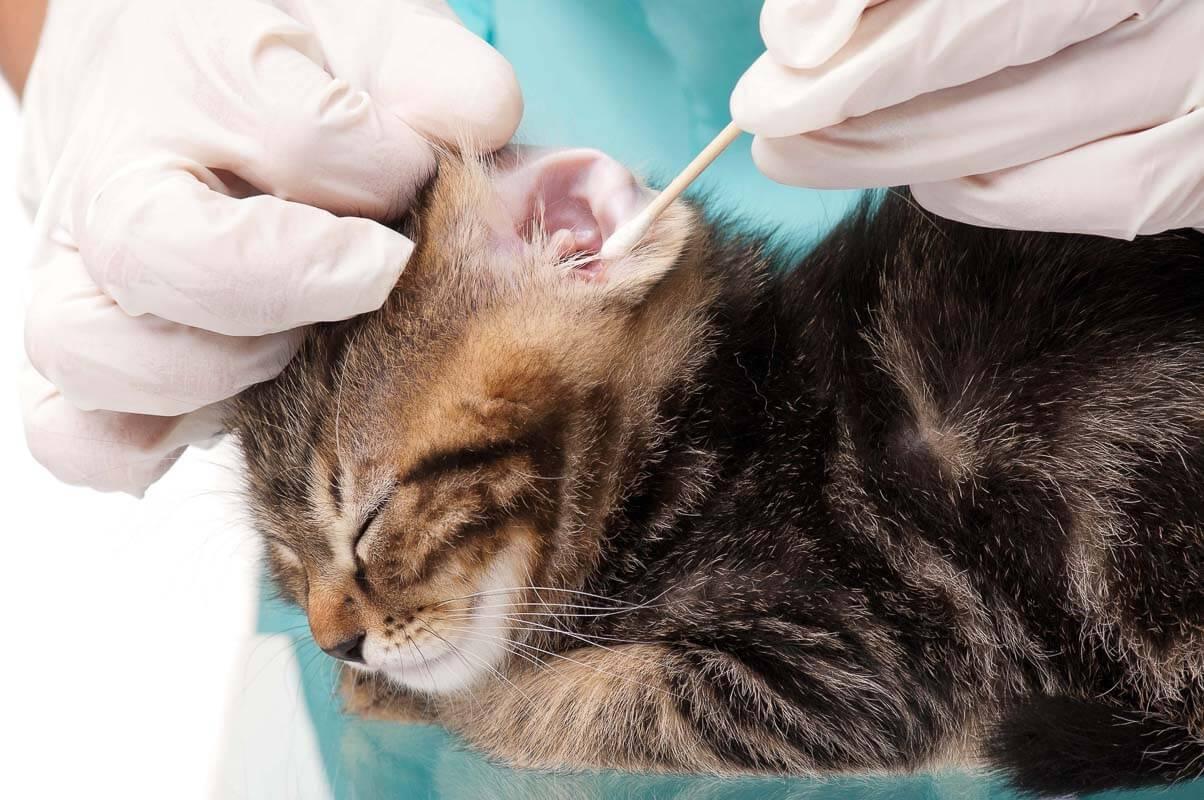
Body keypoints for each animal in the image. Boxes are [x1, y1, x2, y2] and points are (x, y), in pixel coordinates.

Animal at [227, 146, 1204, 795]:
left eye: (370, 515)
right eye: (288, 563)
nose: (334, 642)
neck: (715, 433)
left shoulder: (858, 662)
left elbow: (544, 700)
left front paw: (423, 697)